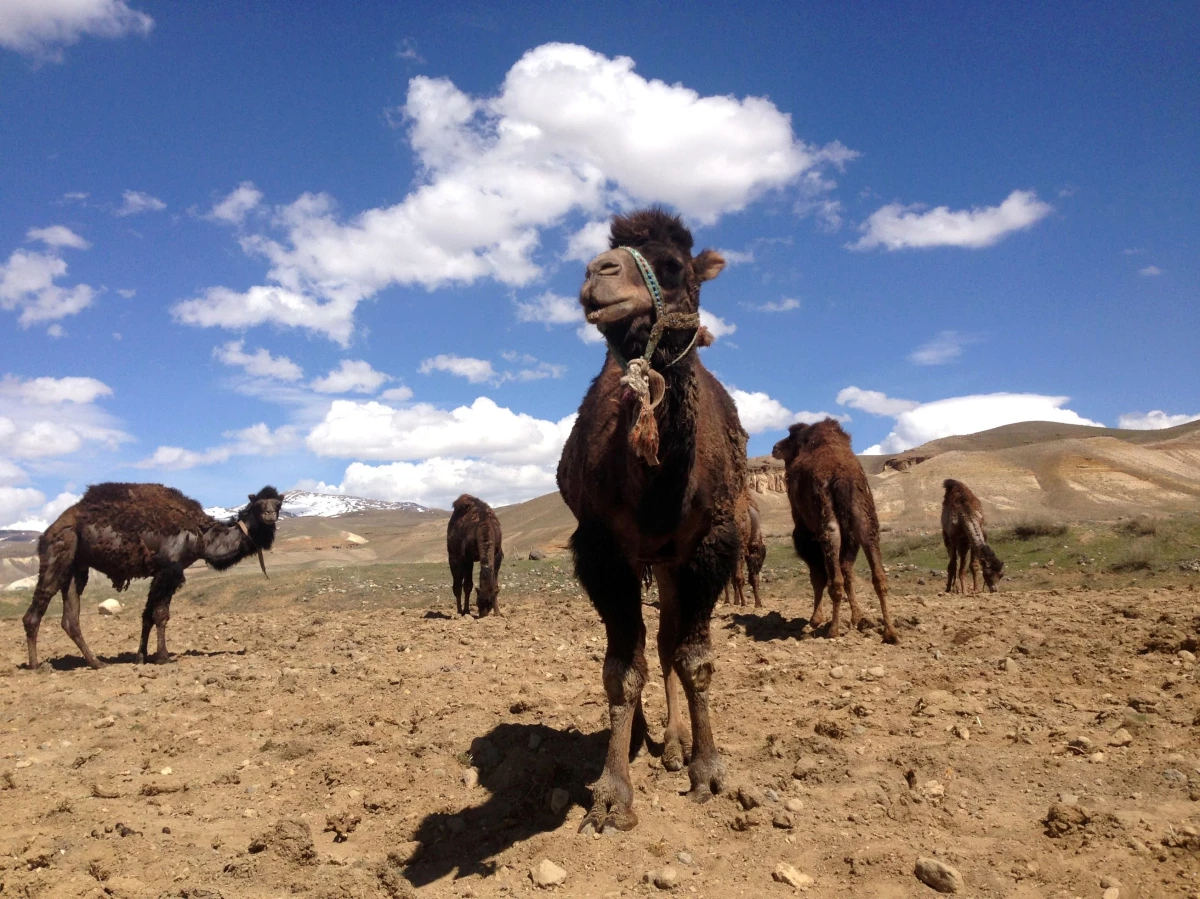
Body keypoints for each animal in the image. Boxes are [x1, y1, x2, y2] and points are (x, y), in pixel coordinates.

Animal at [23, 484, 280, 667]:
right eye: (259, 504)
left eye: (278, 503)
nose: (270, 515)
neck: (201, 536)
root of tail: (50, 529)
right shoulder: (170, 568)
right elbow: (160, 614)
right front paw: (163, 657)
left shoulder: (161, 573)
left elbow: (147, 615)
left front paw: (141, 657)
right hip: (59, 552)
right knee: (36, 611)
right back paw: (38, 665)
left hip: (77, 568)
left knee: (70, 618)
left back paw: (96, 663)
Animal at [556, 206, 744, 830]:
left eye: (675, 266)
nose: (598, 271)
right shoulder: (602, 549)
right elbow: (620, 668)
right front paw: (613, 791)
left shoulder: (713, 542)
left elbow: (695, 658)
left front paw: (708, 770)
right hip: (647, 558)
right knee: (638, 647)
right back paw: (642, 735)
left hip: (668, 559)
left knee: (663, 642)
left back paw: (676, 743)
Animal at [772, 417, 897, 643]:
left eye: (790, 436)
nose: (775, 447)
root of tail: (843, 478)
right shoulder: (851, 535)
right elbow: (847, 571)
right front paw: (857, 617)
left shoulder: (804, 531)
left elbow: (818, 575)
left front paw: (816, 619)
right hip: (865, 520)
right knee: (878, 575)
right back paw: (890, 632)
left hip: (827, 523)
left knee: (833, 578)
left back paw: (833, 630)